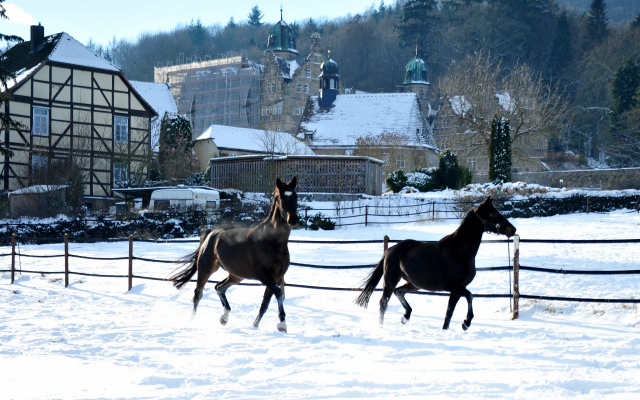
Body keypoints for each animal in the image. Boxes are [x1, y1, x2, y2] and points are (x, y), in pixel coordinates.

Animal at [170, 177, 300, 332]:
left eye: (295, 196)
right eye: (281, 198)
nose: (293, 220)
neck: (273, 242)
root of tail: (212, 233)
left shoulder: (277, 277)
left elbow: (265, 303)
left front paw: (255, 326)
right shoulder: (264, 275)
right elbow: (278, 293)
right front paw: (282, 324)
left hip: (236, 275)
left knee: (219, 287)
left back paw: (224, 318)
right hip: (206, 269)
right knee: (198, 294)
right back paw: (192, 321)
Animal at [356, 196, 516, 332]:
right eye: (493, 213)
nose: (512, 229)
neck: (458, 251)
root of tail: (391, 249)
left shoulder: (457, 289)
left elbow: (449, 312)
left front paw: (447, 329)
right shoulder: (453, 286)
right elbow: (470, 296)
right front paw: (466, 323)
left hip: (415, 284)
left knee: (399, 292)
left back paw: (405, 317)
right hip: (390, 281)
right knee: (383, 303)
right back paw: (382, 326)